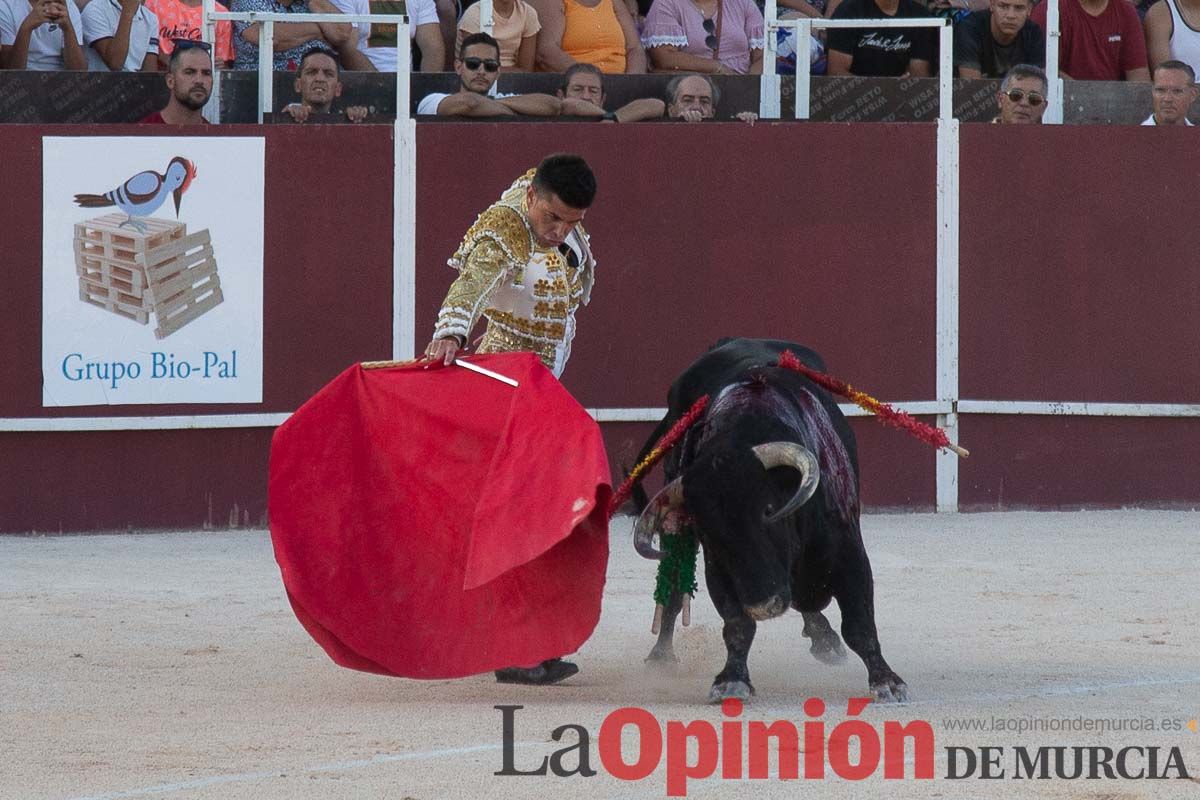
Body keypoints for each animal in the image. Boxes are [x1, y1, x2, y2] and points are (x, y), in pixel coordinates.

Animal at [633, 340, 902, 705]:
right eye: (709, 531)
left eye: (769, 509)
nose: (764, 605)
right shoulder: (720, 568)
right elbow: (737, 625)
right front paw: (731, 680)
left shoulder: (848, 550)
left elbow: (859, 624)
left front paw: (887, 681)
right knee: (674, 591)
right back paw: (661, 656)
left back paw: (825, 639)